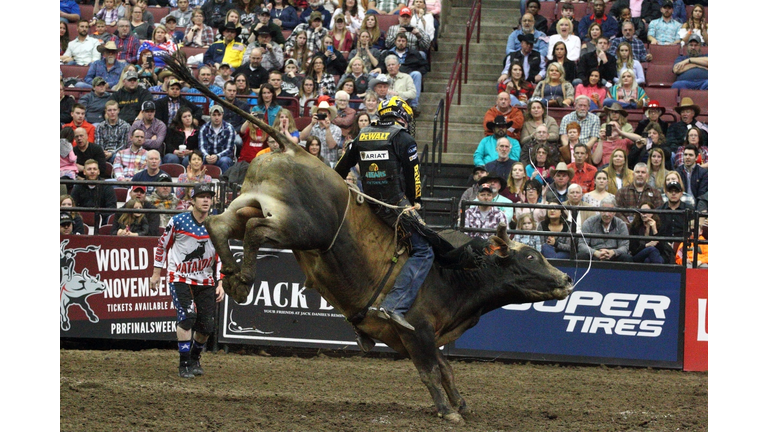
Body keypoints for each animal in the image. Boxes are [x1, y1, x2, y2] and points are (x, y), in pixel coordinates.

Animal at [160, 52, 568, 424]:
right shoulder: (417, 332)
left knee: (218, 225)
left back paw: (233, 277)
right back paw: (244, 278)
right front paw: (447, 410)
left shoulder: (428, 337)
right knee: (255, 231)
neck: (453, 274)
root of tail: (290, 146)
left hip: (251, 202)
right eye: (530, 258)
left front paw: (461, 404)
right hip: (301, 228)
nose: (565, 278)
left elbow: (445, 368)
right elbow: (431, 371)